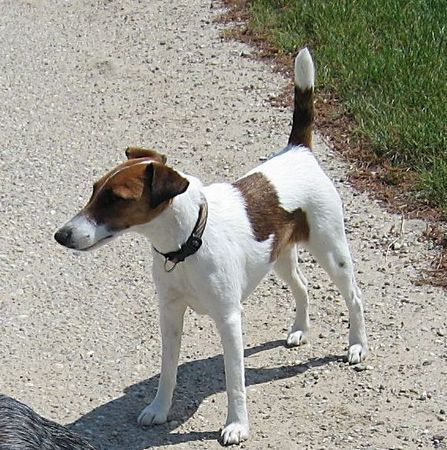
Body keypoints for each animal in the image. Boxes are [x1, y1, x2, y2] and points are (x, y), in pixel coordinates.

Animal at [55, 50, 368, 446]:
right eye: (95, 189)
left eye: (117, 199)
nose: (61, 235)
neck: (188, 241)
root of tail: (298, 151)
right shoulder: (170, 314)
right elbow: (167, 370)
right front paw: (159, 409)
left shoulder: (229, 318)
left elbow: (235, 380)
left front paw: (237, 425)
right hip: (279, 255)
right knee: (302, 286)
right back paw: (299, 329)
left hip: (331, 251)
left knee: (354, 297)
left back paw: (357, 346)